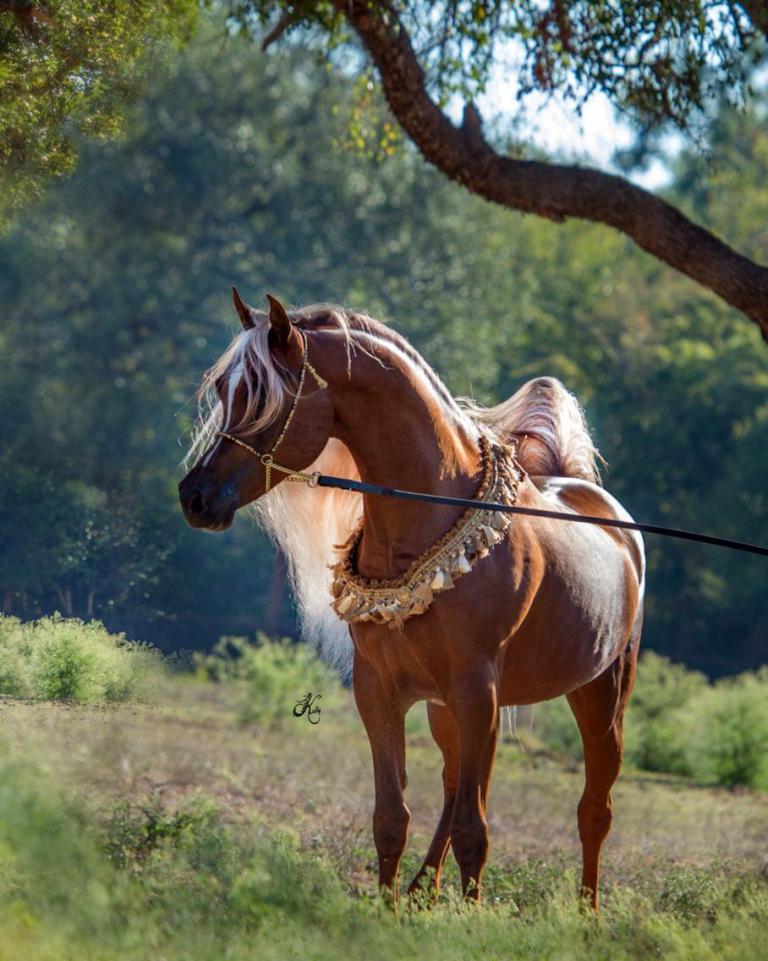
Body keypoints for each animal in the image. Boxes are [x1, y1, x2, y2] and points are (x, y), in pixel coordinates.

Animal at [179, 290, 645, 910]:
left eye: (258, 397)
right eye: (222, 392)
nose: (194, 497)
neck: (428, 518)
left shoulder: (476, 690)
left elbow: (475, 830)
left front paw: (470, 918)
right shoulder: (380, 690)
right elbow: (393, 816)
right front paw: (388, 909)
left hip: (600, 693)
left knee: (594, 809)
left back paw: (586, 912)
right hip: (451, 709)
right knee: (455, 788)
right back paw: (425, 889)